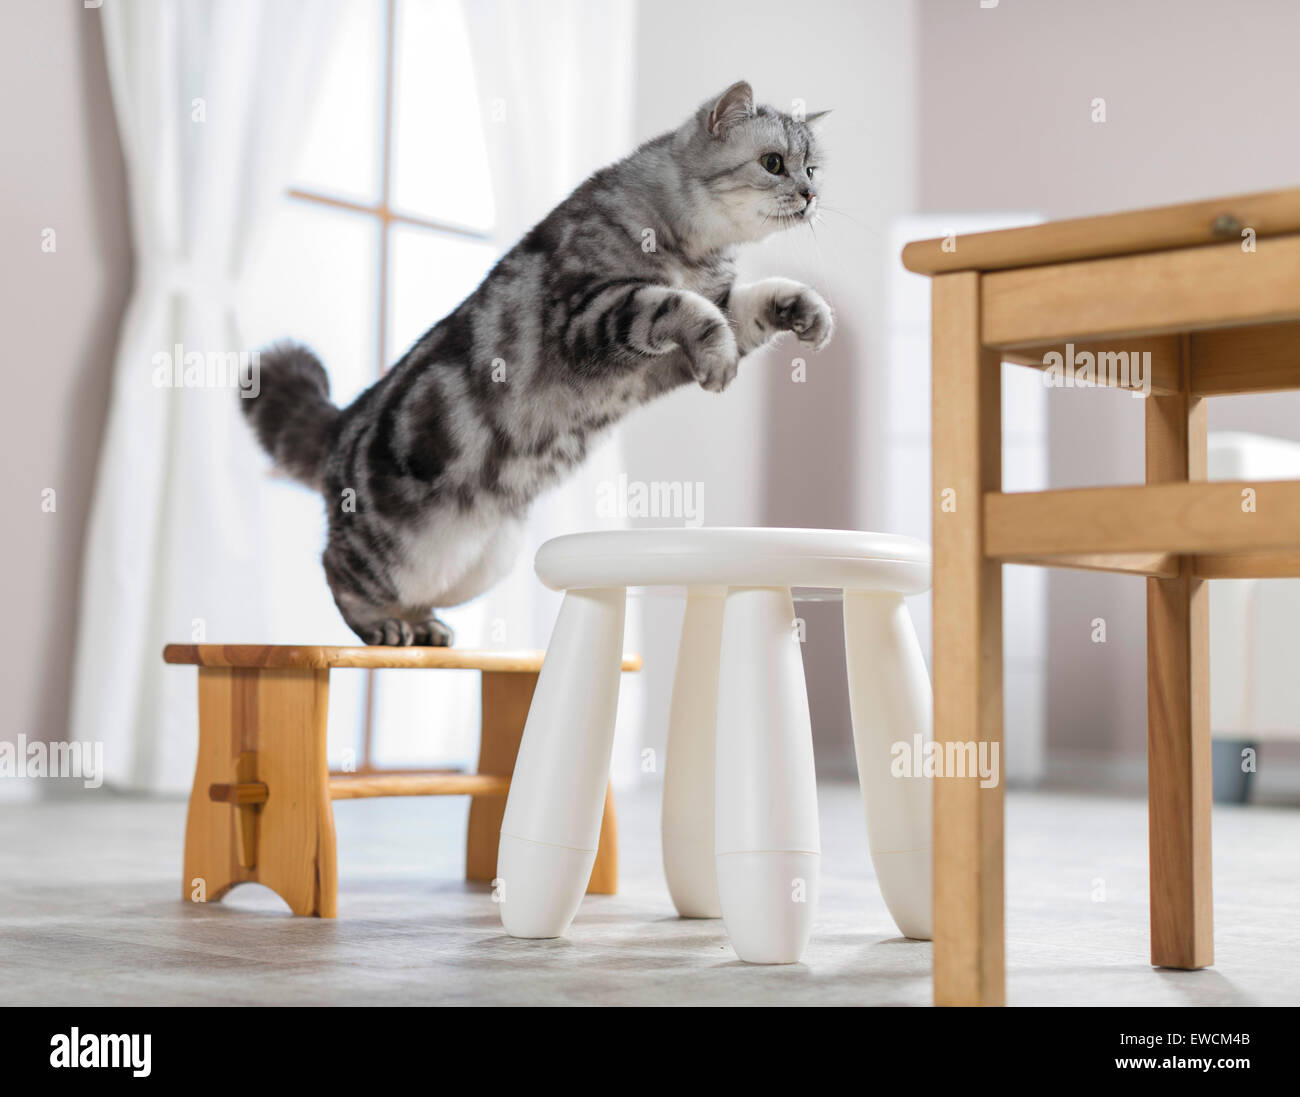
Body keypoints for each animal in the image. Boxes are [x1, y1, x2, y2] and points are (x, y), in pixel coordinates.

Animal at [243, 81, 832, 647]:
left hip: (480, 564)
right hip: (391, 548)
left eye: (812, 168)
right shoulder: (592, 314)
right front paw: (720, 362)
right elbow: (683, 306)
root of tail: (341, 422)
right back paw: (384, 626)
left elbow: (755, 303)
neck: (700, 249)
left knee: (412, 593)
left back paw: (425, 626)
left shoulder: (672, 349)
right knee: (337, 569)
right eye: (773, 163)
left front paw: (808, 313)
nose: (811, 196)